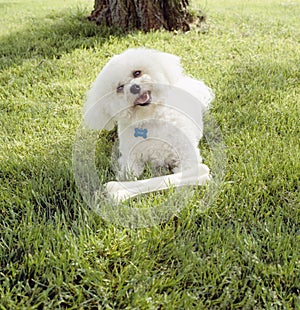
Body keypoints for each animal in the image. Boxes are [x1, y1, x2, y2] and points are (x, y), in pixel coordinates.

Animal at [83, 47, 213, 180]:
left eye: (137, 73)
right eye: (119, 88)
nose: (134, 88)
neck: (150, 117)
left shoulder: (186, 154)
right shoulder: (130, 157)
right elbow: (128, 174)